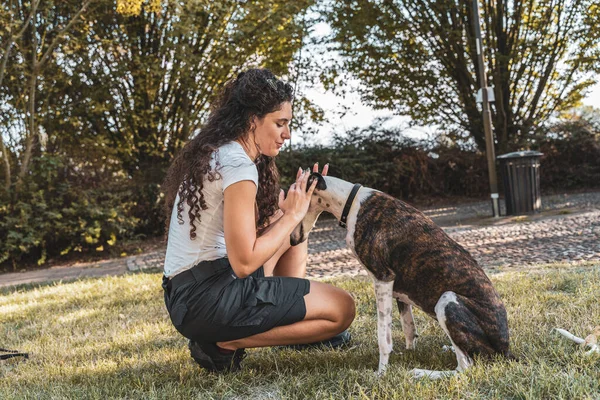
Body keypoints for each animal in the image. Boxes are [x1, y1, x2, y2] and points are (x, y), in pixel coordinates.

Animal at [290, 173, 510, 378]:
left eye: (290, 205)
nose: (291, 241)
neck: (350, 203)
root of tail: (506, 351)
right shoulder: (400, 290)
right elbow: (409, 328)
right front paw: (408, 354)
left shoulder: (383, 279)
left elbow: (383, 337)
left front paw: (381, 373)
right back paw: (446, 349)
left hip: (447, 300)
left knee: (464, 367)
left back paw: (422, 372)